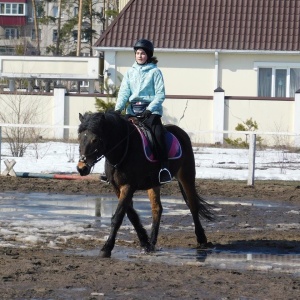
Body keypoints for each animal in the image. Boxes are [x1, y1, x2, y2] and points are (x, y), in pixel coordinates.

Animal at [77, 112, 213, 258]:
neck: (123, 149)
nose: (81, 168)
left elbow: (118, 217)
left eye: (95, 140)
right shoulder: (117, 187)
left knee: (193, 205)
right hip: (154, 184)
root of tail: (181, 132)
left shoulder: (128, 186)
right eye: (79, 137)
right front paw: (144, 242)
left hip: (186, 176)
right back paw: (152, 243)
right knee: (157, 209)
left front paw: (106, 248)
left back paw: (202, 239)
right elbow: (131, 215)